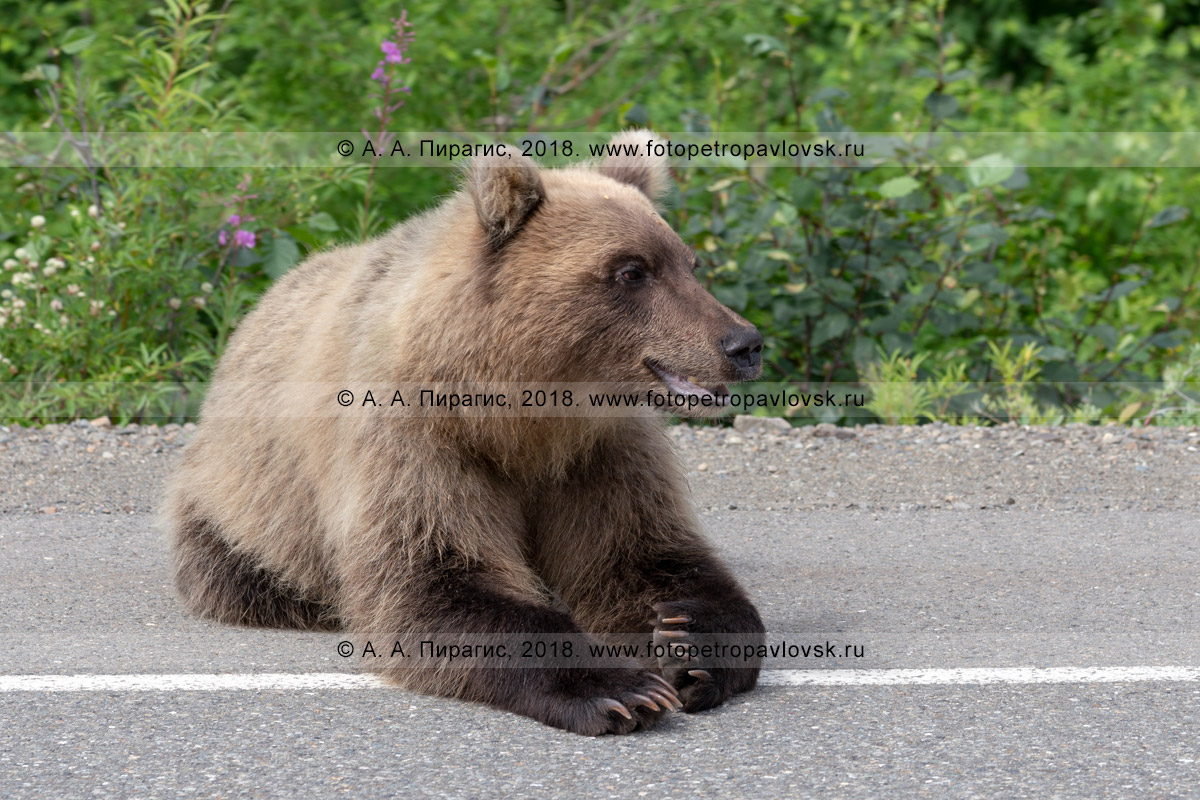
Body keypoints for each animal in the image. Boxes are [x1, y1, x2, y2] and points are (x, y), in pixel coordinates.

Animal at [164, 128, 763, 734]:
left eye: (689, 263)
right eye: (632, 270)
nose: (744, 343)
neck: (517, 417)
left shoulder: (599, 453)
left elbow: (644, 553)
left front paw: (687, 645)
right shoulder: (418, 441)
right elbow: (438, 578)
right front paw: (622, 688)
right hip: (246, 503)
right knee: (247, 570)